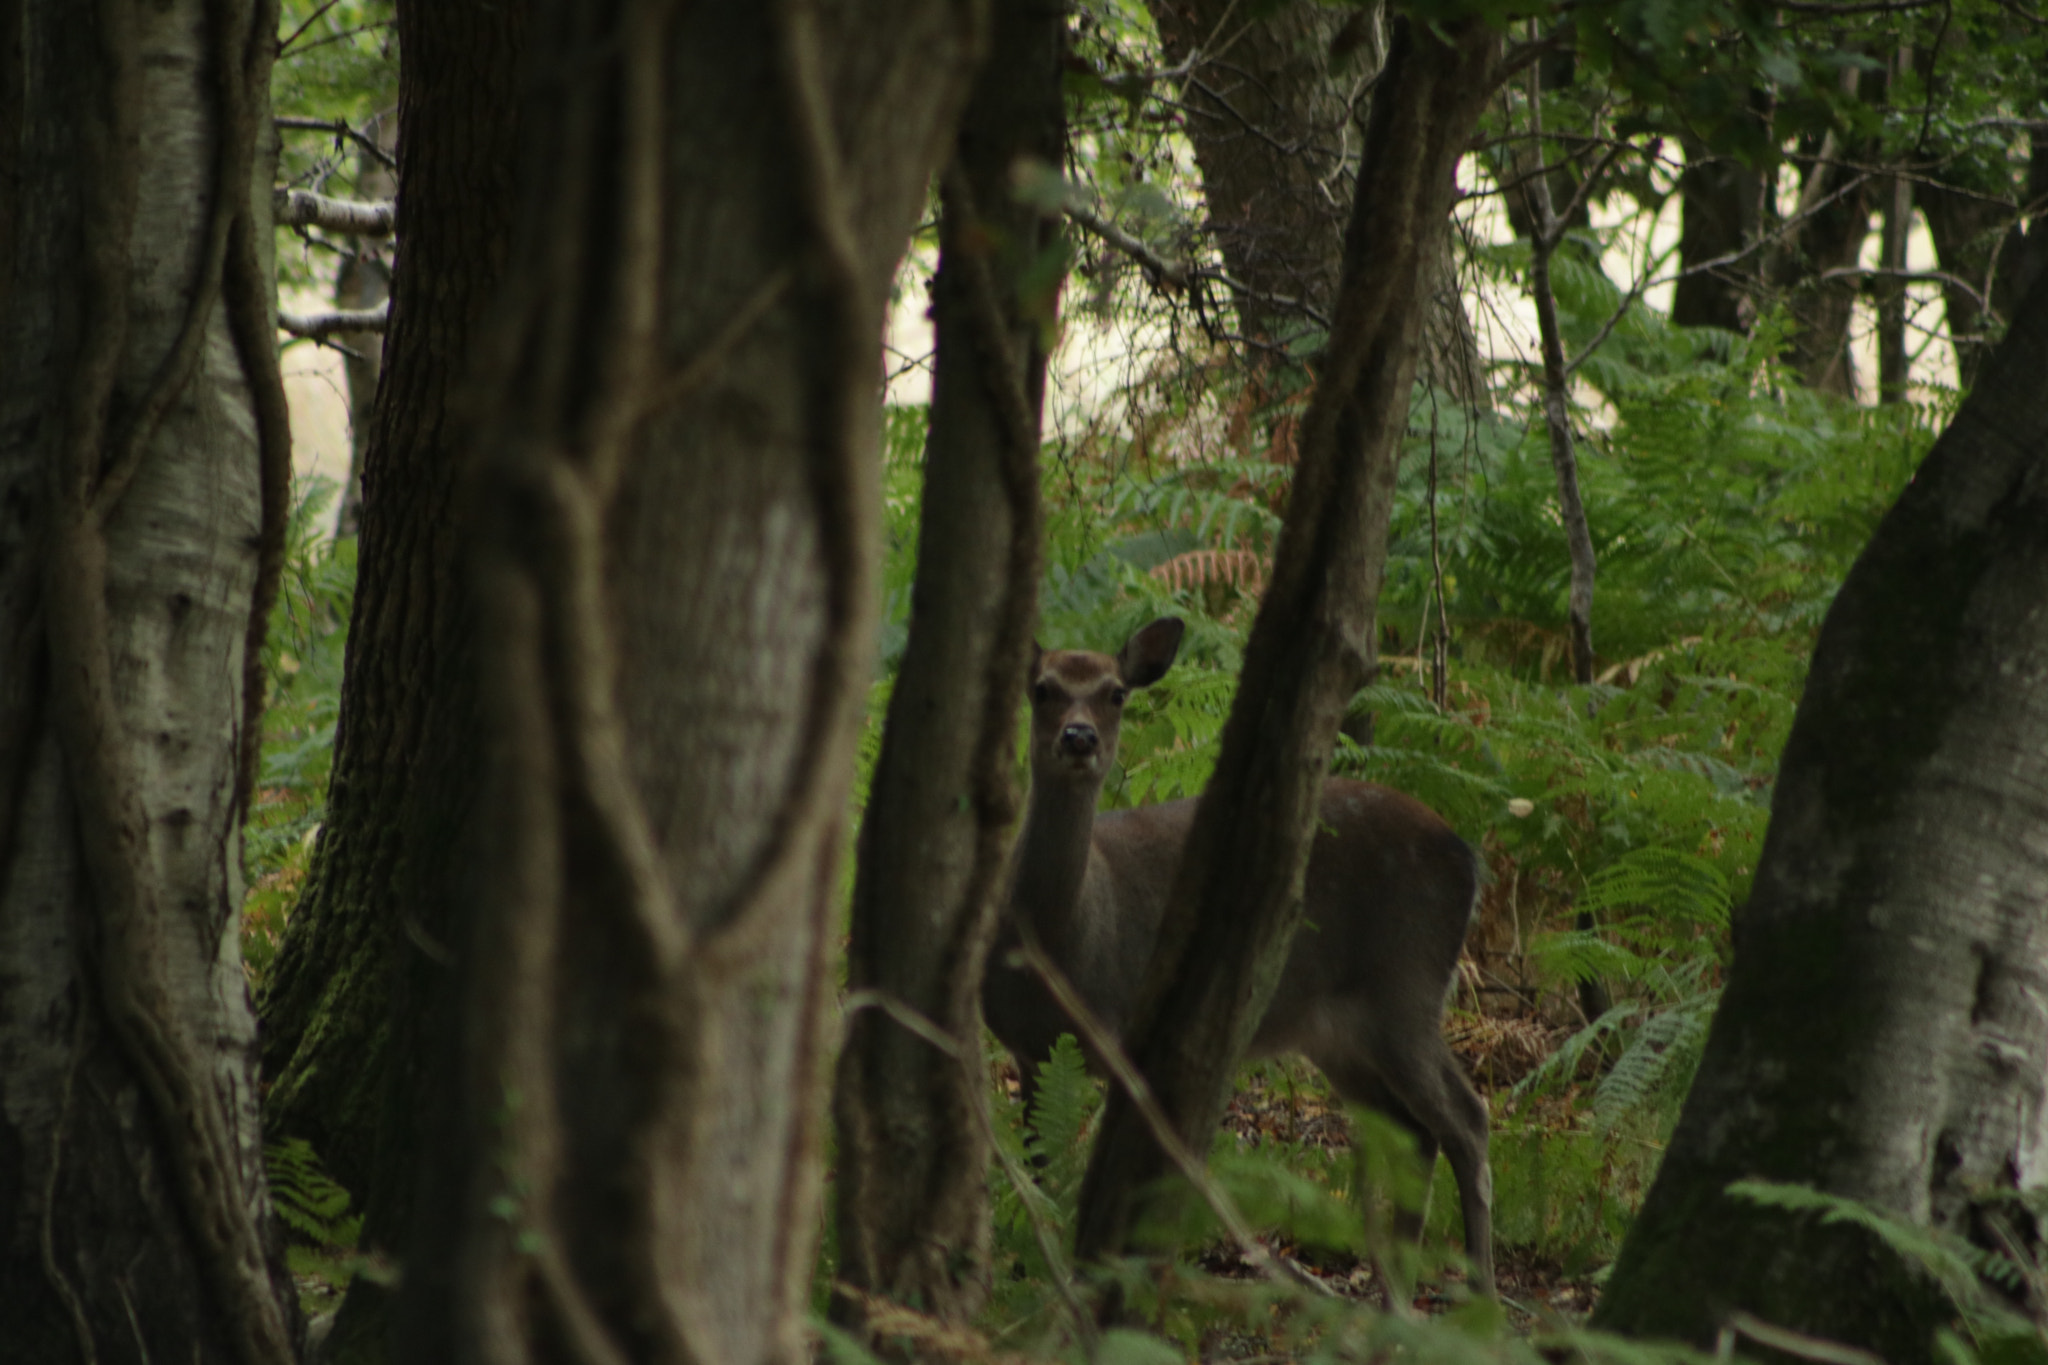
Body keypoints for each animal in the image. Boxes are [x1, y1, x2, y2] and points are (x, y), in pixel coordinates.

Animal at [982, 616, 1494, 1292]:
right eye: (1042, 688)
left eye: (1116, 692)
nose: (1079, 735)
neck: (1064, 940)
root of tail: (1468, 859)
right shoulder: (1030, 1048)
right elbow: (1040, 1165)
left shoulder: (1128, 1029)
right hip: (1339, 1032)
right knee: (1414, 1131)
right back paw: (1396, 1291)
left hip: (1407, 985)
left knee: (1467, 1118)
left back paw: (1476, 1292)